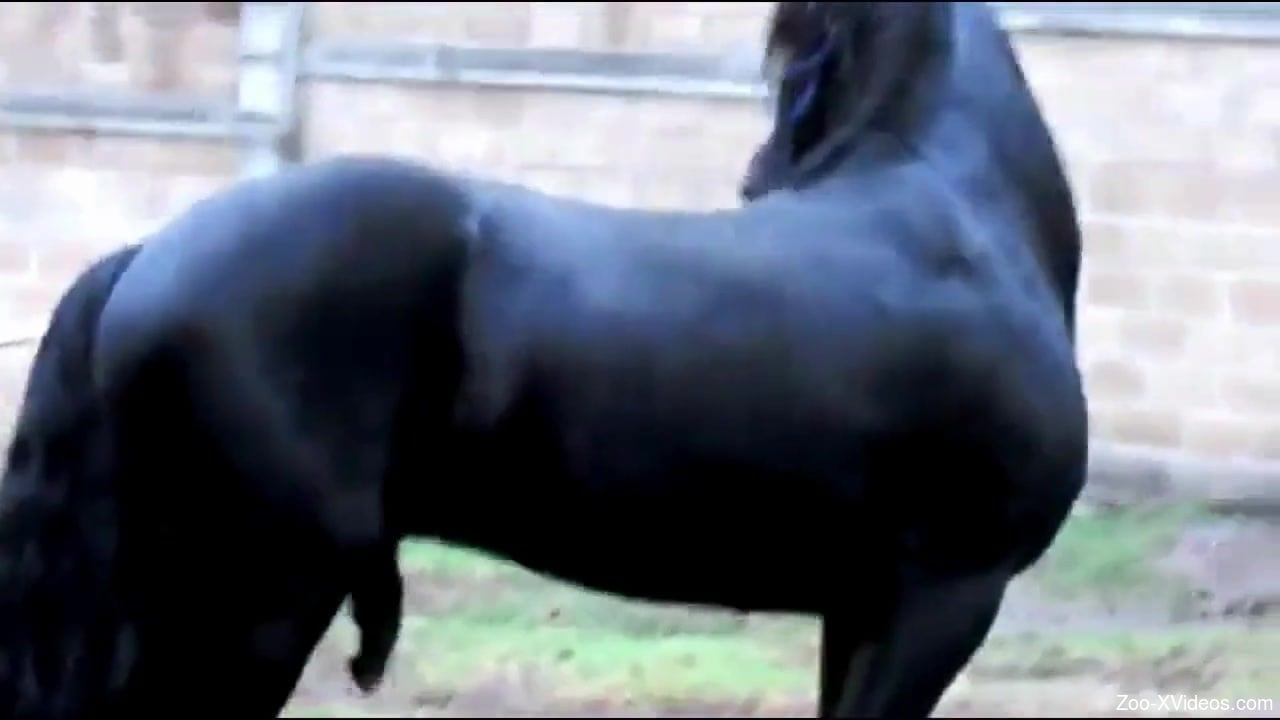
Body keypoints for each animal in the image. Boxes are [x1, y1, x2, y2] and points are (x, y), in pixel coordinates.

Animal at [0, 2, 1087, 717]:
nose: (754, 173)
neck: (965, 220)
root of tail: (145, 256)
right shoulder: (940, 598)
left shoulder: (859, 606)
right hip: (252, 605)